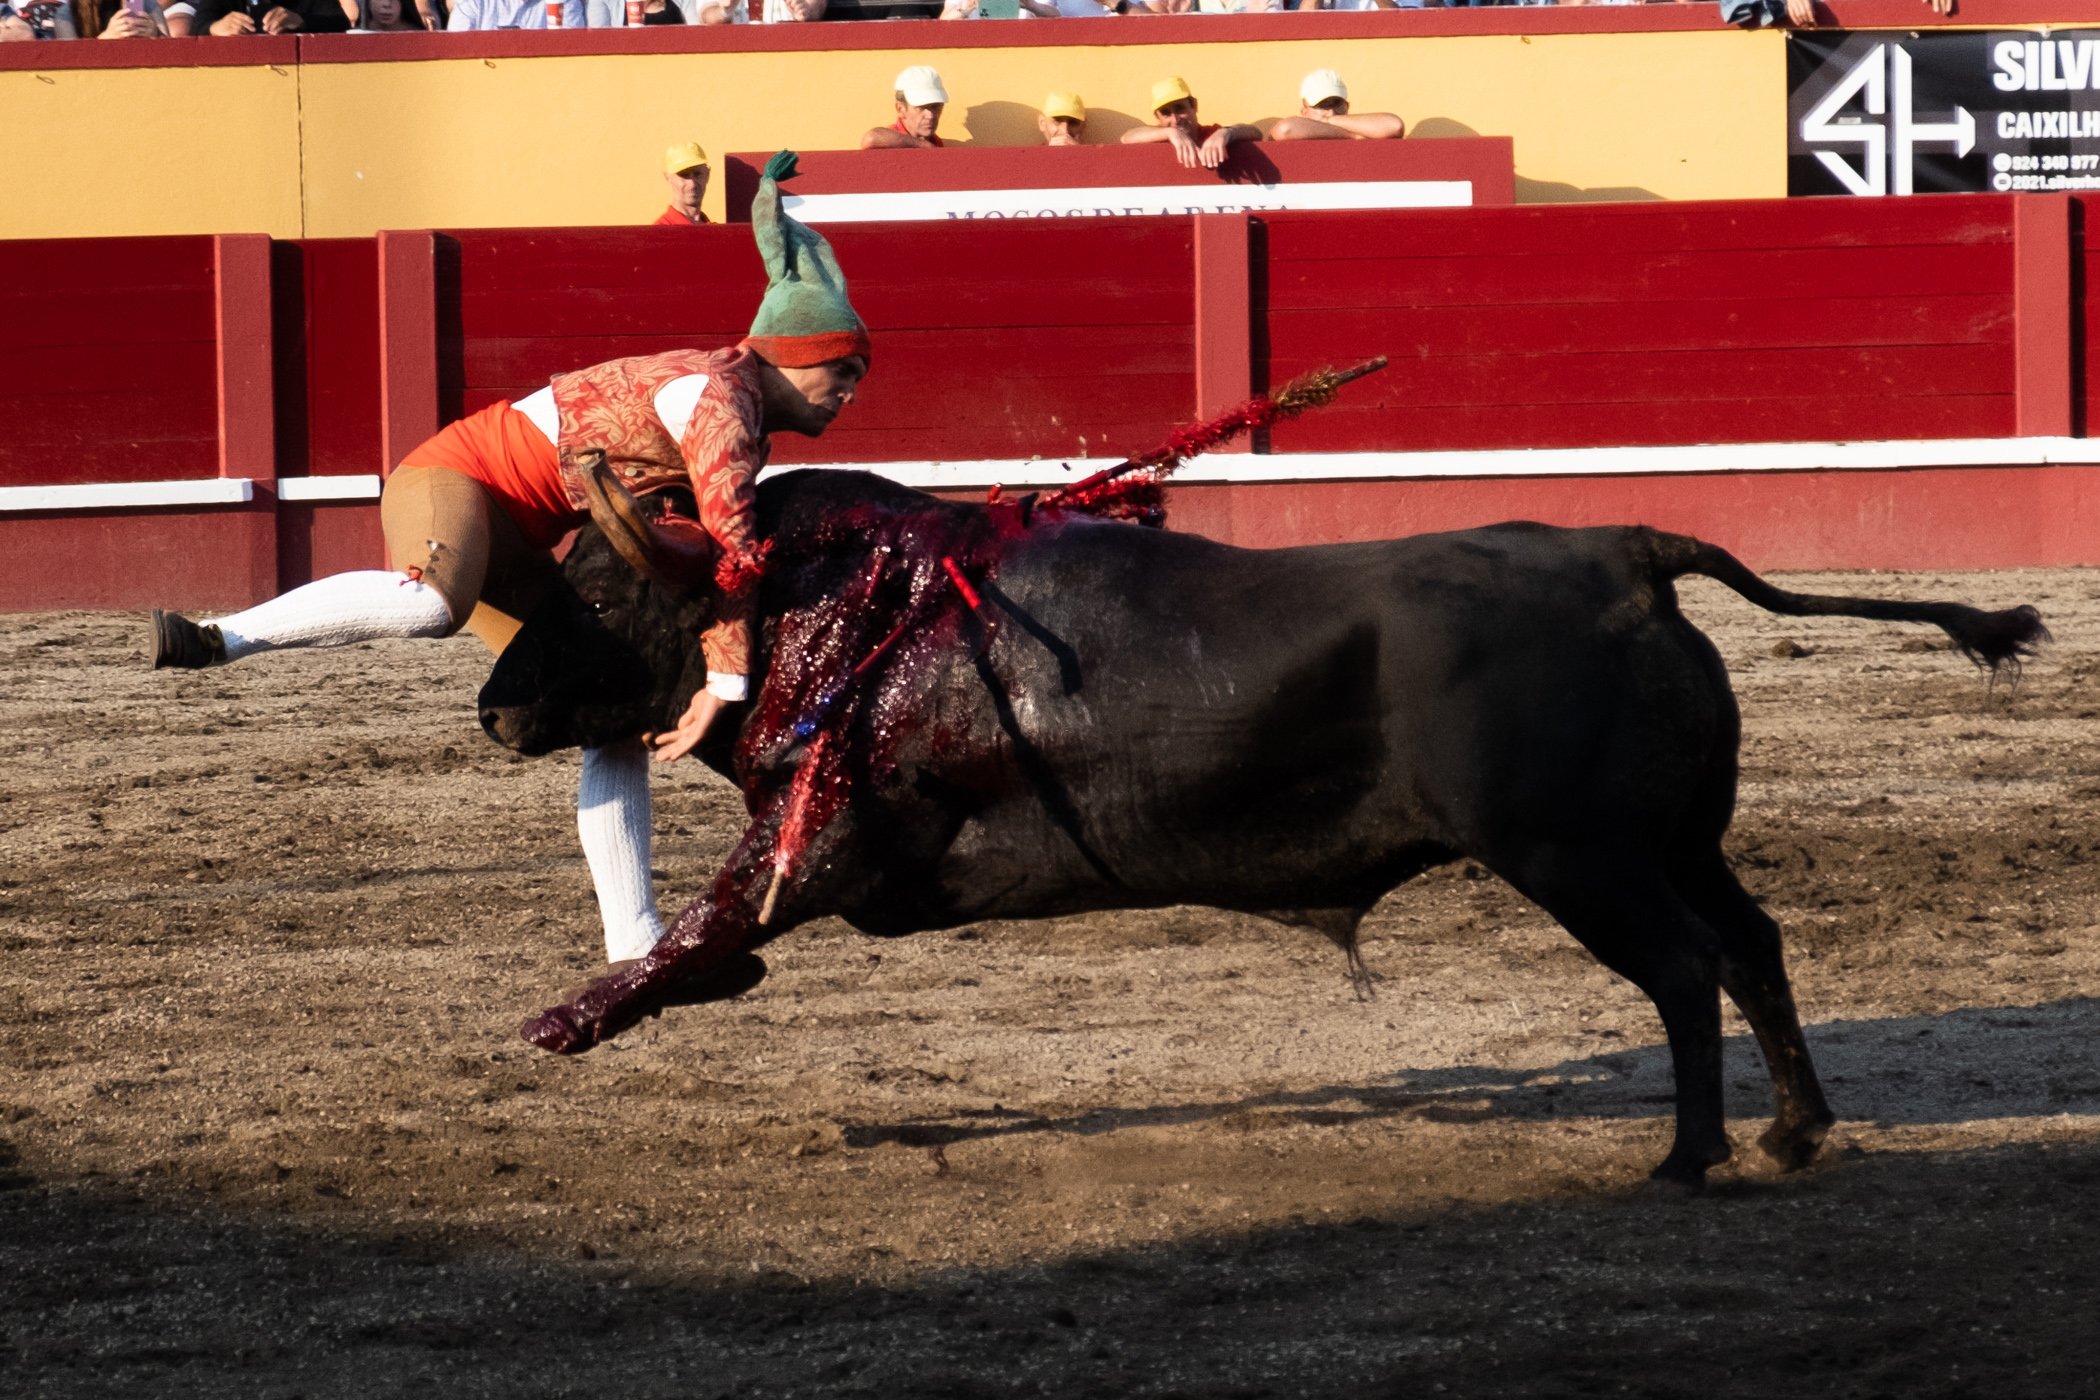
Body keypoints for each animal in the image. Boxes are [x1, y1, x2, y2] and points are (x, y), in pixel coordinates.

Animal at [482, 470, 2041, 1183]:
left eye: (602, 593)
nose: (495, 711)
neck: (836, 614)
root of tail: (1626, 554)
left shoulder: (831, 839)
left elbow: (715, 914)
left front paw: (568, 1018)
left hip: (1579, 859)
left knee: (1680, 967)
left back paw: (1688, 1156)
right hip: (1675, 841)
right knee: (1752, 943)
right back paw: (1794, 1129)